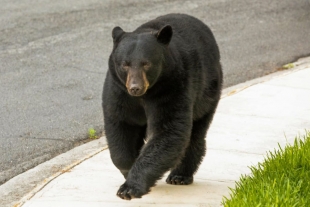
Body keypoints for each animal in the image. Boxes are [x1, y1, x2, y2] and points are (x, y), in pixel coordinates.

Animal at [103, 13, 222, 201]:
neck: (145, 95)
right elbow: (121, 125)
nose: (135, 87)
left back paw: (180, 175)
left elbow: (168, 131)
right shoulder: (119, 91)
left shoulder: (172, 87)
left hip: (207, 91)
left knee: (195, 132)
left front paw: (130, 187)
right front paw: (128, 169)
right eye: (125, 64)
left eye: (146, 63)